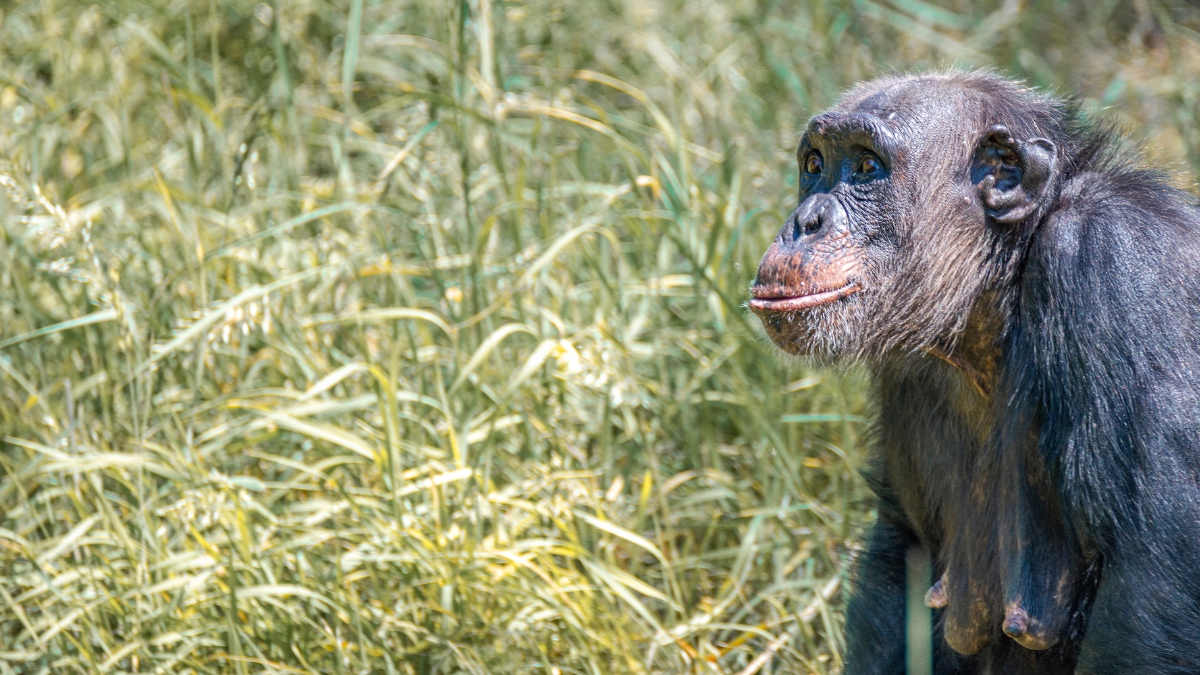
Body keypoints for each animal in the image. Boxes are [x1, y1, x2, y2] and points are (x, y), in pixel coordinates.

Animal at [748, 70, 1200, 667]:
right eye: (815, 165)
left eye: (867, 165)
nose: (805, 221)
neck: (1002, 281)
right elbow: (904, 551)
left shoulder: (1116, 263)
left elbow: (1153, 588)